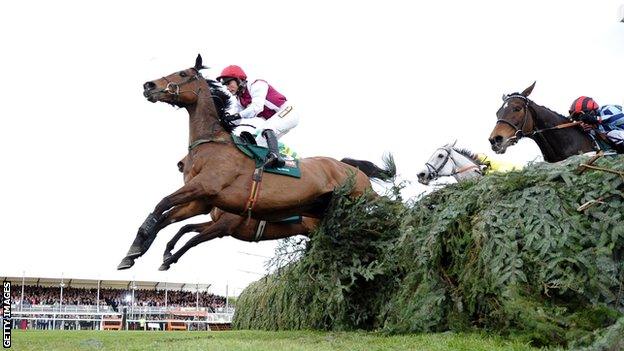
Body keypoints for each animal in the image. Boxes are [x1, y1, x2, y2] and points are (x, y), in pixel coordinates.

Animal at [118, 54, 394, 270]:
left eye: (183, 73)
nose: (148, 85)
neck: (212, 144)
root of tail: (346, 166)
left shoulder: (210, 195)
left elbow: (165, 208)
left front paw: (149, 251)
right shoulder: (201, 199)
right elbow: (171, 219)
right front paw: (138, 252)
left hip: (360, 195)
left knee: (388, 206)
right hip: (325, 210)